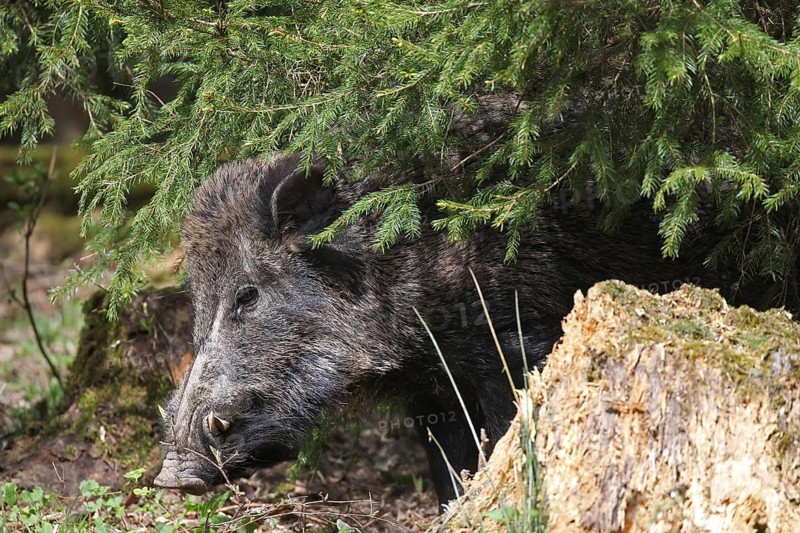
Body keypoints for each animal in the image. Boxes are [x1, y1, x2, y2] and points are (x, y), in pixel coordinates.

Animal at [154, 153, 742, 505]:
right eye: (197, 301)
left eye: (247, 295)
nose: (172, 477)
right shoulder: (430, 389)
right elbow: (445, 460)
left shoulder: (515, 338)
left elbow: (506, 430)